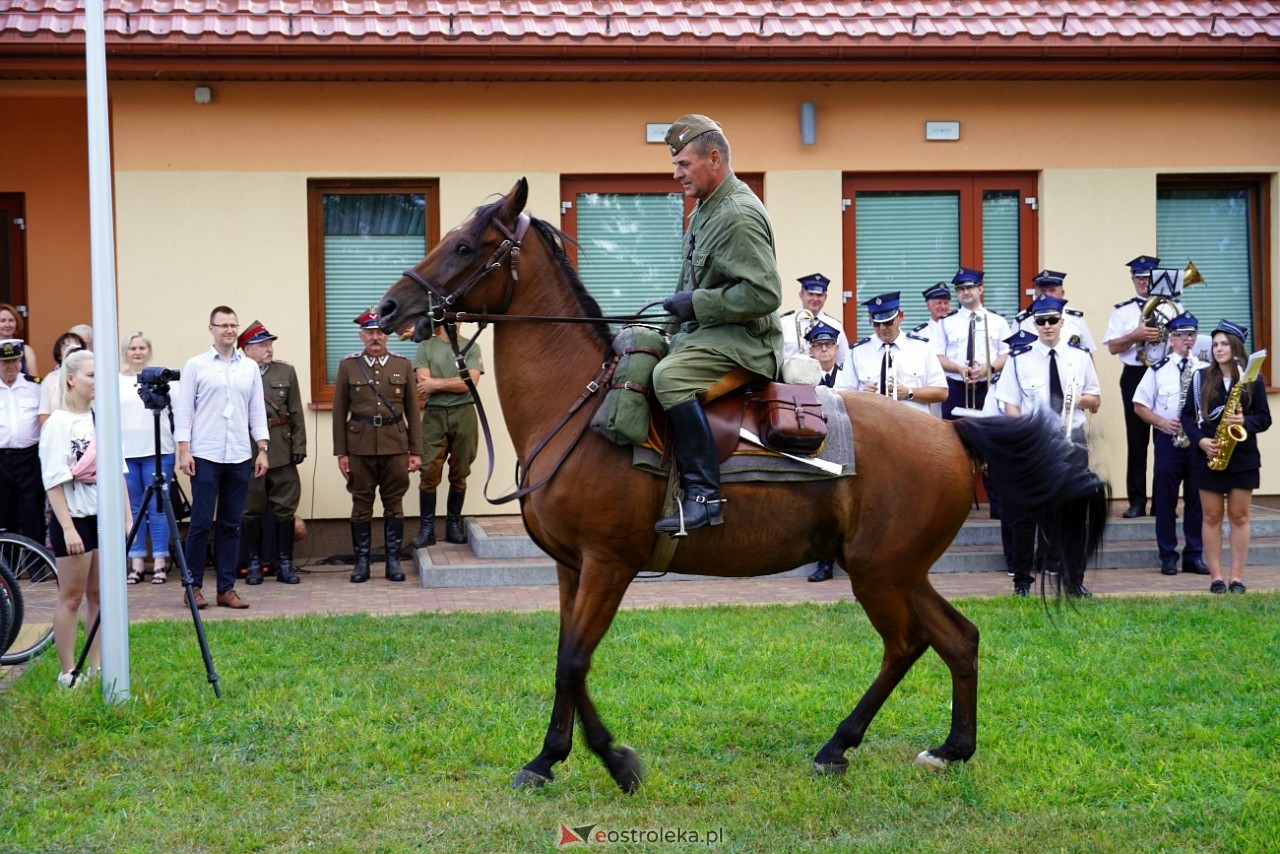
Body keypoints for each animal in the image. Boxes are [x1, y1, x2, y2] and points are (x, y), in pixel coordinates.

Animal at [376, 178, 1107, 793]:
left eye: (464, 245)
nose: (387, 307)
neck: (578, 408)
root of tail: (954, 432)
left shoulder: (610, 564)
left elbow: (575, 663)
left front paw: (616, 761)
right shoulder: (570, 567)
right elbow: (564, 660)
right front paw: (547, 758)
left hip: (881, 572)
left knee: (908, 644)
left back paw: (845, 745)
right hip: (897, 570)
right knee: (957, 639)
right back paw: (945, 747)